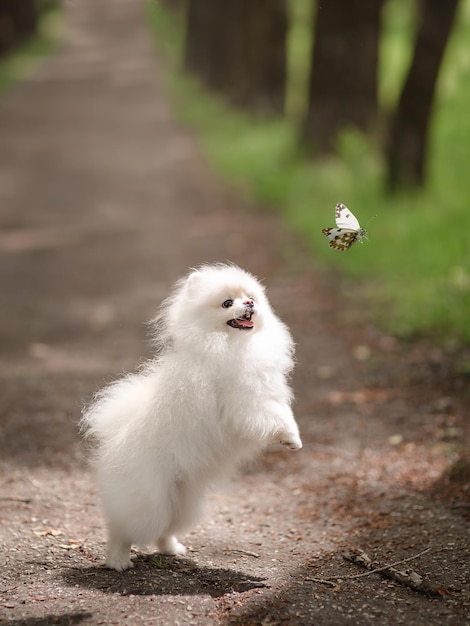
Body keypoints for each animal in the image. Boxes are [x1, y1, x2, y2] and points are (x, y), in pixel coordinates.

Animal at [81, 260, 302, 568]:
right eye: (227, 303)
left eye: (251, 297)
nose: (248, 304)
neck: (232, 344)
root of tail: (113, 437)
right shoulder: (245, 402)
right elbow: (273, 417)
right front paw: (289, 439)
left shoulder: (266, 391)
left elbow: (285, 413)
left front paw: (294, 438)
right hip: (149, 500)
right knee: (123, 529)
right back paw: (118, 560)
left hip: (184, 500)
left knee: (165, 529)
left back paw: (172, 548)